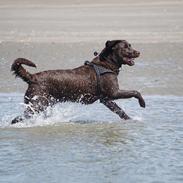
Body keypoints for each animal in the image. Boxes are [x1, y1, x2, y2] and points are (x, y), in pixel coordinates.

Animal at [11, 39, 146, 123]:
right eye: (126, 47)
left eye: (130, 45)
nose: (138, 52)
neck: (106, 64)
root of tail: (32, 77)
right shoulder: (114, 92)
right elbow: (135, 92)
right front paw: (142, 103)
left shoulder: (106, 99)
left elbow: (120, 111)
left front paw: (130, 120)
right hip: (37, 104)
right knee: (18, 118)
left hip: (44, 104)